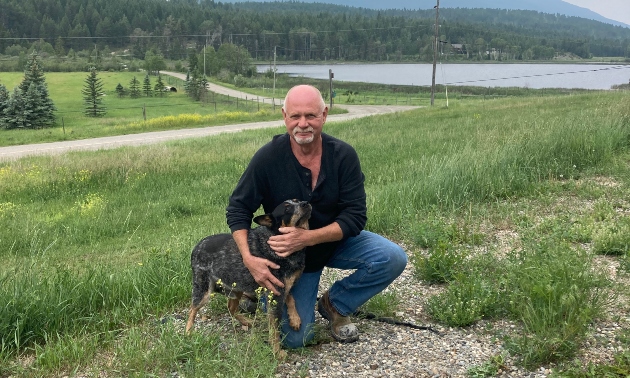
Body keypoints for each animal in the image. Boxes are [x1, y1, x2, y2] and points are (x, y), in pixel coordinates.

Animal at [184, 199, 312, 358]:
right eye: (287, 208)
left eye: (297, 200)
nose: (306, 203)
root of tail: (196, 247)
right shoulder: (275, 292)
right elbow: (275, 329)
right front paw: (277, 352)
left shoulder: (282, 287)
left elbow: (291, 298)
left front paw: (294, 318)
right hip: (203, 290)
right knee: (192, 309)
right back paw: (188, 332)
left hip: (237, 285)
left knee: (231, 308)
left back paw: (247, 321)